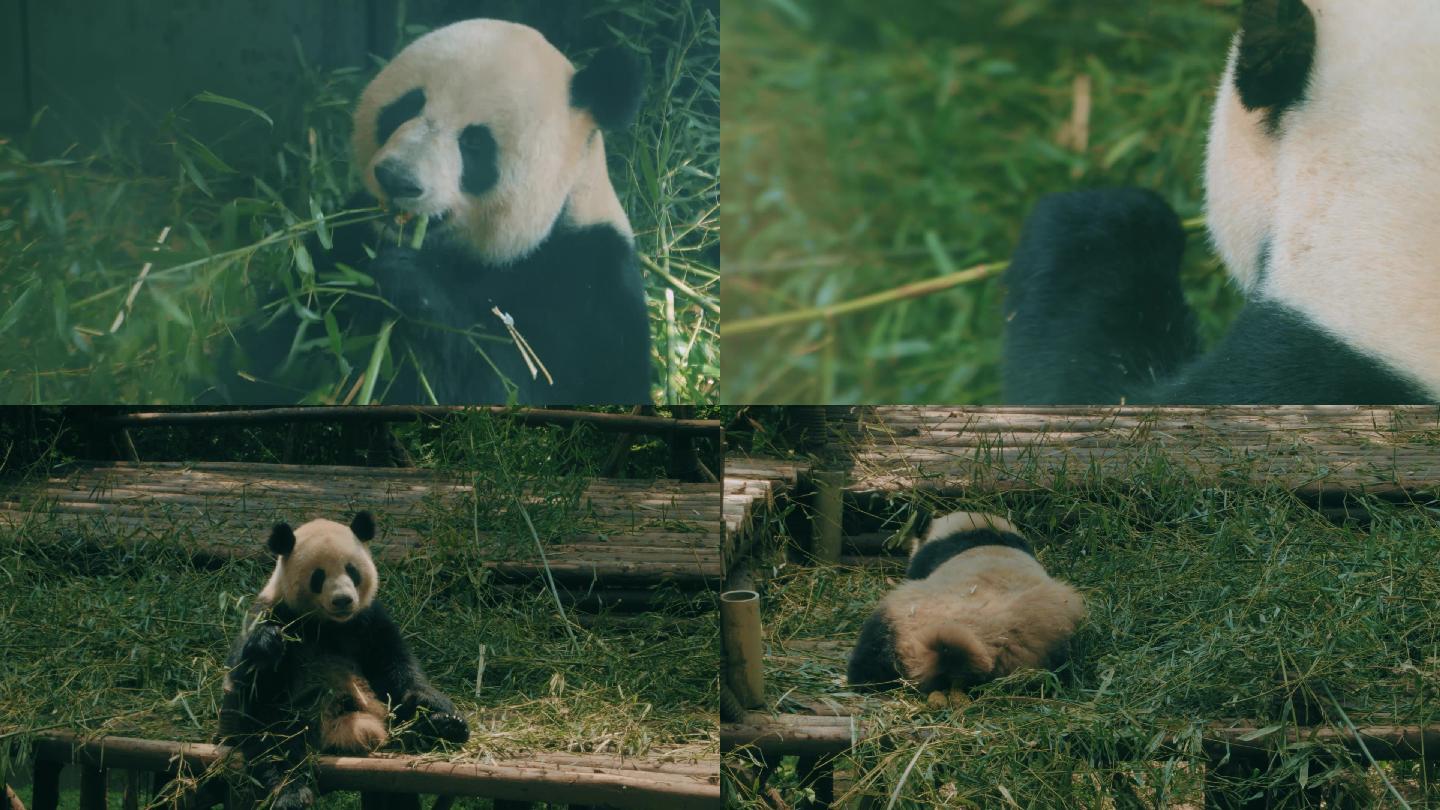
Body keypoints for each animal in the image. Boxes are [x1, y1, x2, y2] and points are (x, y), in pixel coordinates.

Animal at [218, 510, 466, 807]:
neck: (329, 625)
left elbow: (398, 670)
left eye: (352, 570)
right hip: (298, 721)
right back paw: (292, 792)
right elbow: (252, 687)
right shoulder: (276, 614)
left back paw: (444, 725)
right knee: (274, 741)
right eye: (319, 576)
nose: (343, 600)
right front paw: (268, 645)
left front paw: (438, 710)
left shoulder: (369, 621)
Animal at [227, 20, 650, 403]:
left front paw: (410, 283)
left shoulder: (587, 289)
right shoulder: (340, 242)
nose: (398, 180)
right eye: (405, 107)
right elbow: (271, 346)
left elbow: (513, 383)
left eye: (475, 143)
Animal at [840, 510, 1082, 694]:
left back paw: (862, 679)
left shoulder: (926, 560)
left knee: (876, 642)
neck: (982, 530)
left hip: (905, 613)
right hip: (1051, 625)